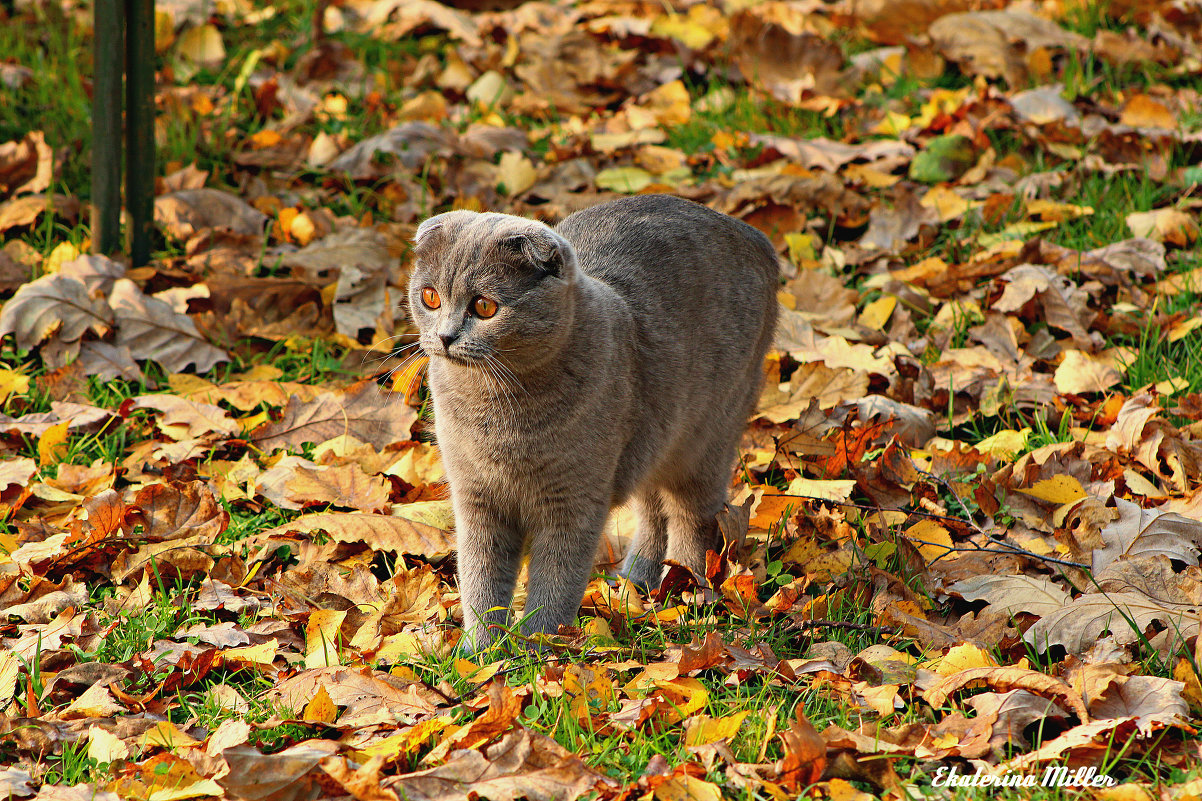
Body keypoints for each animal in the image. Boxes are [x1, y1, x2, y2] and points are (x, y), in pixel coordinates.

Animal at [408, 193, 774, 649]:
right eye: (430, 297)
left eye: (484, 307)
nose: (444, 336)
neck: (496, 411)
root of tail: (754, 236)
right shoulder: (477, 498)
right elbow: (481, 576)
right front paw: (481, 650)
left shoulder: (574, 500)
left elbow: (556, 579)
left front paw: (539, 646)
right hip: (652, 440)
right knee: (653, 511)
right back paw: (636, 583)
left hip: (705, 439)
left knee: (691, 516)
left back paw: (684, 593)